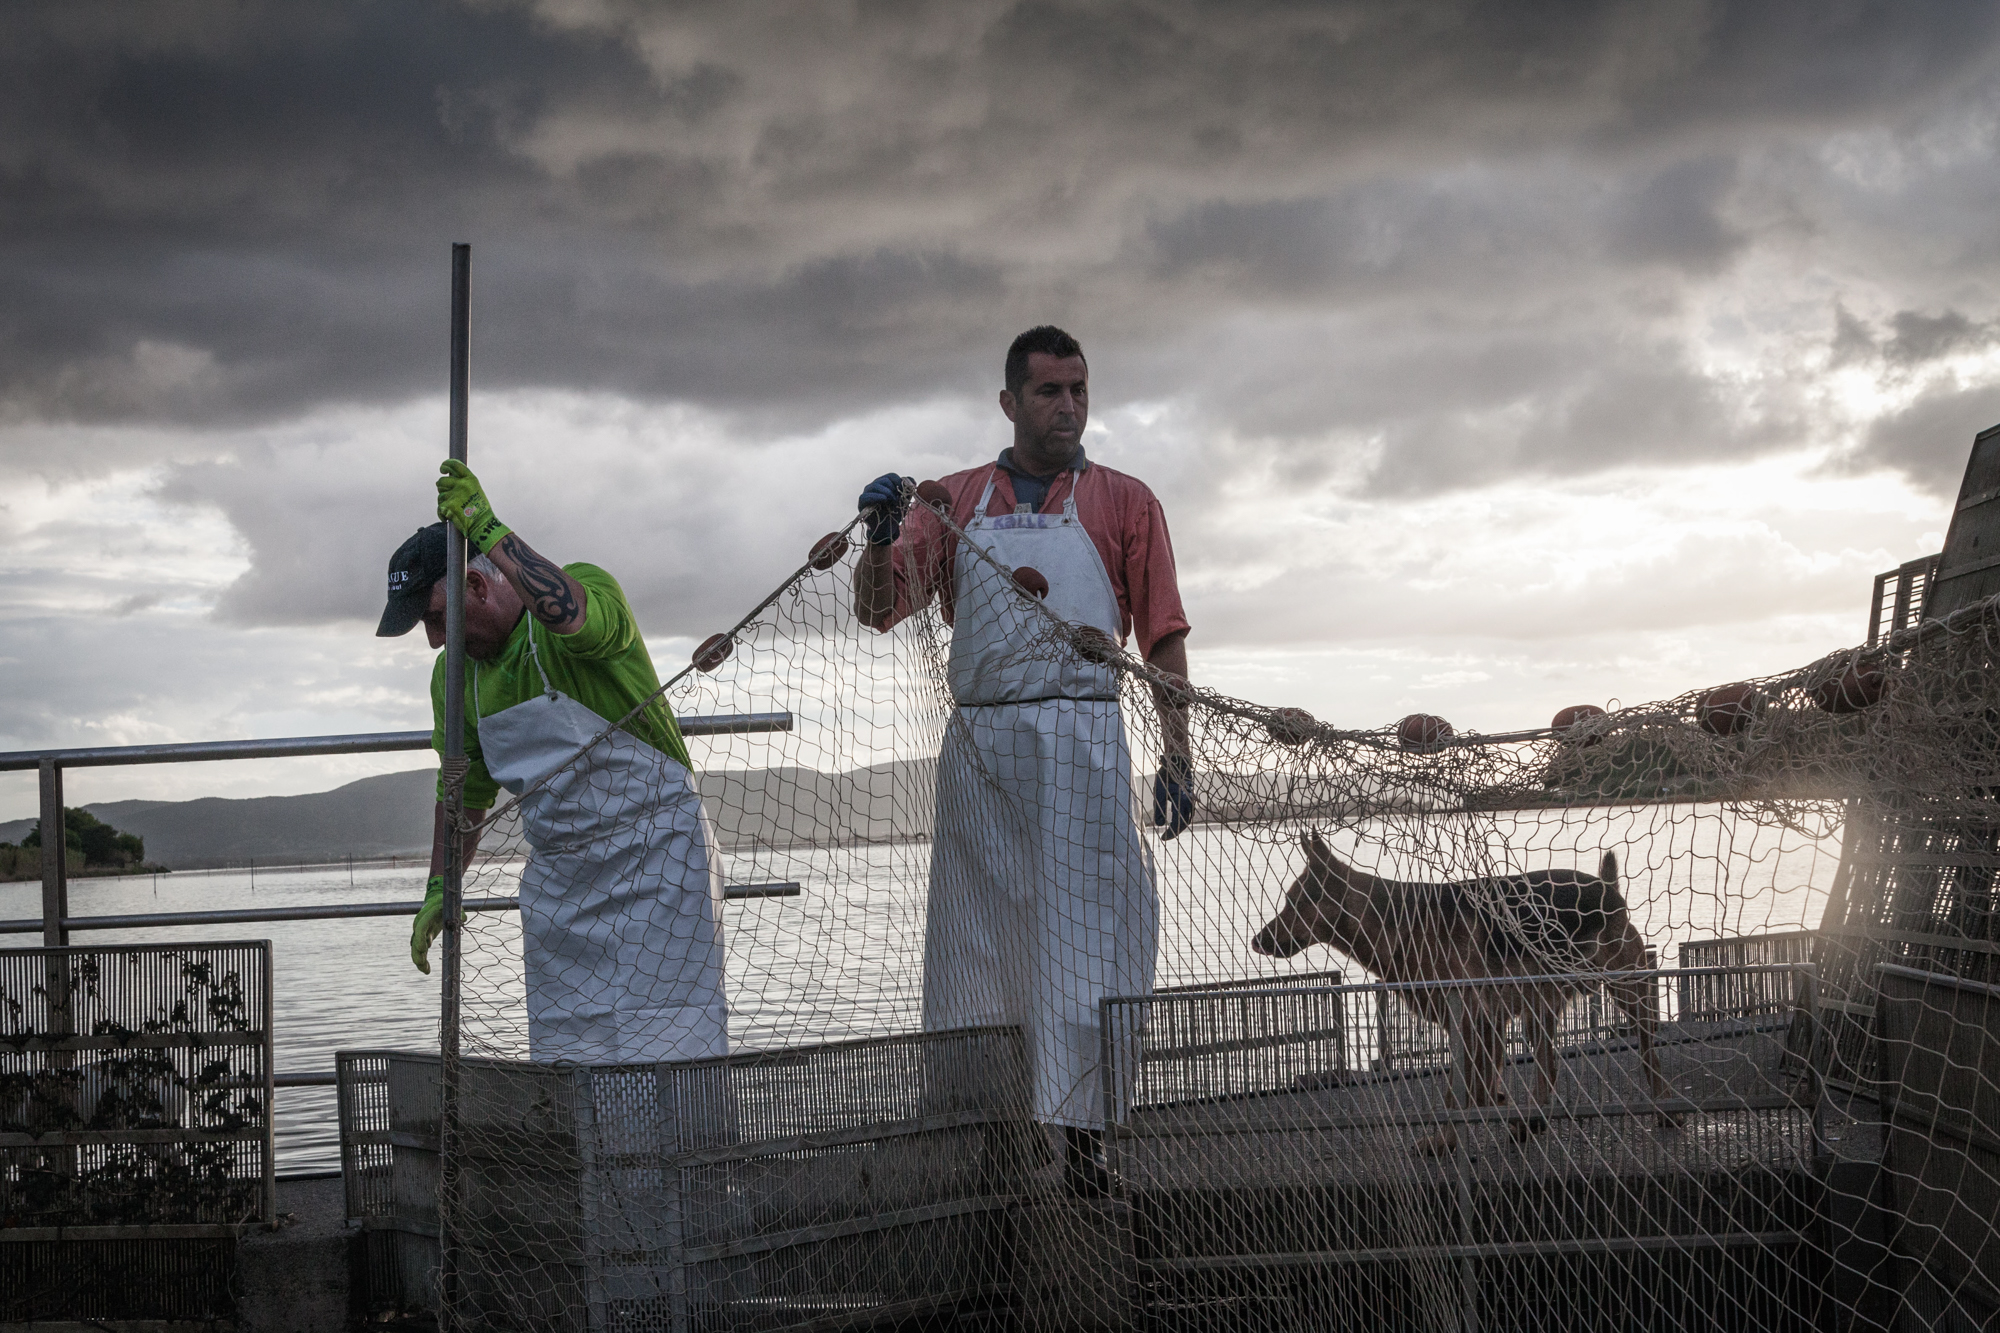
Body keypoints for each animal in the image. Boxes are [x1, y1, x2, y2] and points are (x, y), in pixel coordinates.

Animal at [1248, 824, 1672, 1144]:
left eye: (1293, 903)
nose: (1256, 942)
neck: (1396, 922)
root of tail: (1607, 888)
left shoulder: (1467, 1018)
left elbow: (1459, 1095)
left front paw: (1444, 1142)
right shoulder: (1482, 1021)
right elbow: (1479, 1086)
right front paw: (1489, 1111)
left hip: (1625, 989)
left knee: (1648, 1050)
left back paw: (1665, 1110)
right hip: (1540, 1008)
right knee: (1549, 1068)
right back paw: (1531, 1123)